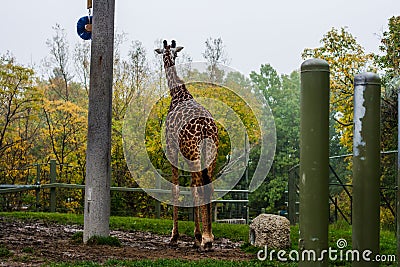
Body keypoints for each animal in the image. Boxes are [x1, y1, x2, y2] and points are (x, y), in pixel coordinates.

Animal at [156, 39, 219, 251]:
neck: (177, 94)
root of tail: (207, 129)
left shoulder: (172, 149)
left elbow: (175, 189)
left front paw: (174, 236)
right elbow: (191, 188)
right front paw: (196, 237)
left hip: (194, 154)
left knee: (200, 188)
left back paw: (206, 239)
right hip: (209, 155)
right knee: (208, 187)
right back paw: (208, 238)